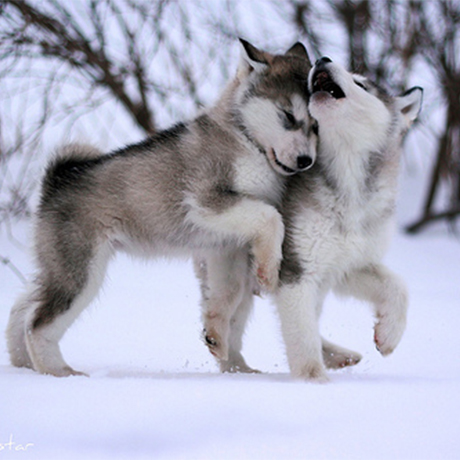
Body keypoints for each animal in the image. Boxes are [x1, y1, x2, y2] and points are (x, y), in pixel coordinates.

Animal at [7, 39, 318, 378]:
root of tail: (58, 179)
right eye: (288, 116)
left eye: (316, 125)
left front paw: (220, 340)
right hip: (81, 270)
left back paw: (22, 364)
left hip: (59, 266)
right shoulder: (205, 200)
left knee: (23, 307)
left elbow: (229, 292)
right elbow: (271, 217)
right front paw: (269, 271)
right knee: (38, 323)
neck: (247, 139)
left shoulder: (226, 245)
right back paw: (59, 372)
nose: (306, 161)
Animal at [199, 55, 422, 380]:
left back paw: (337, 355)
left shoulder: (346, 265)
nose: (323, 59)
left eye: (361, 84)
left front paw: (389, 334)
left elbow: (398, 285)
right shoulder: (298, 272)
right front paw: (313, 383)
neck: (347, 187)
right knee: (230, 323)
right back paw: (238, 369)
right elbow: (302, 340)